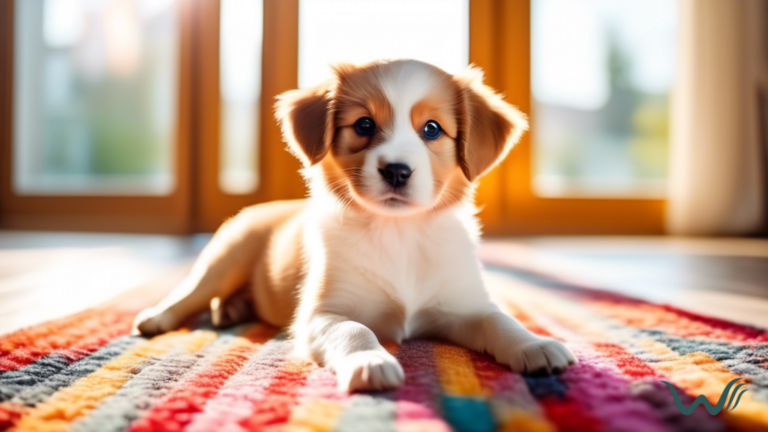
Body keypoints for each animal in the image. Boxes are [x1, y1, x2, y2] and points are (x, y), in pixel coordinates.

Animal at [135, 59, 576, 394]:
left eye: (432, 129)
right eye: (364, 125)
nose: (397, 171)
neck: (399, 234)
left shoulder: (464, 305)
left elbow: (499, 319)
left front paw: (535, 344)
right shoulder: (319, 315)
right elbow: (355, 328)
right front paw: (371, 361)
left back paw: (232, 308)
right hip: (227, 255)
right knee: (190, 291)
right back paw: (158, 317)